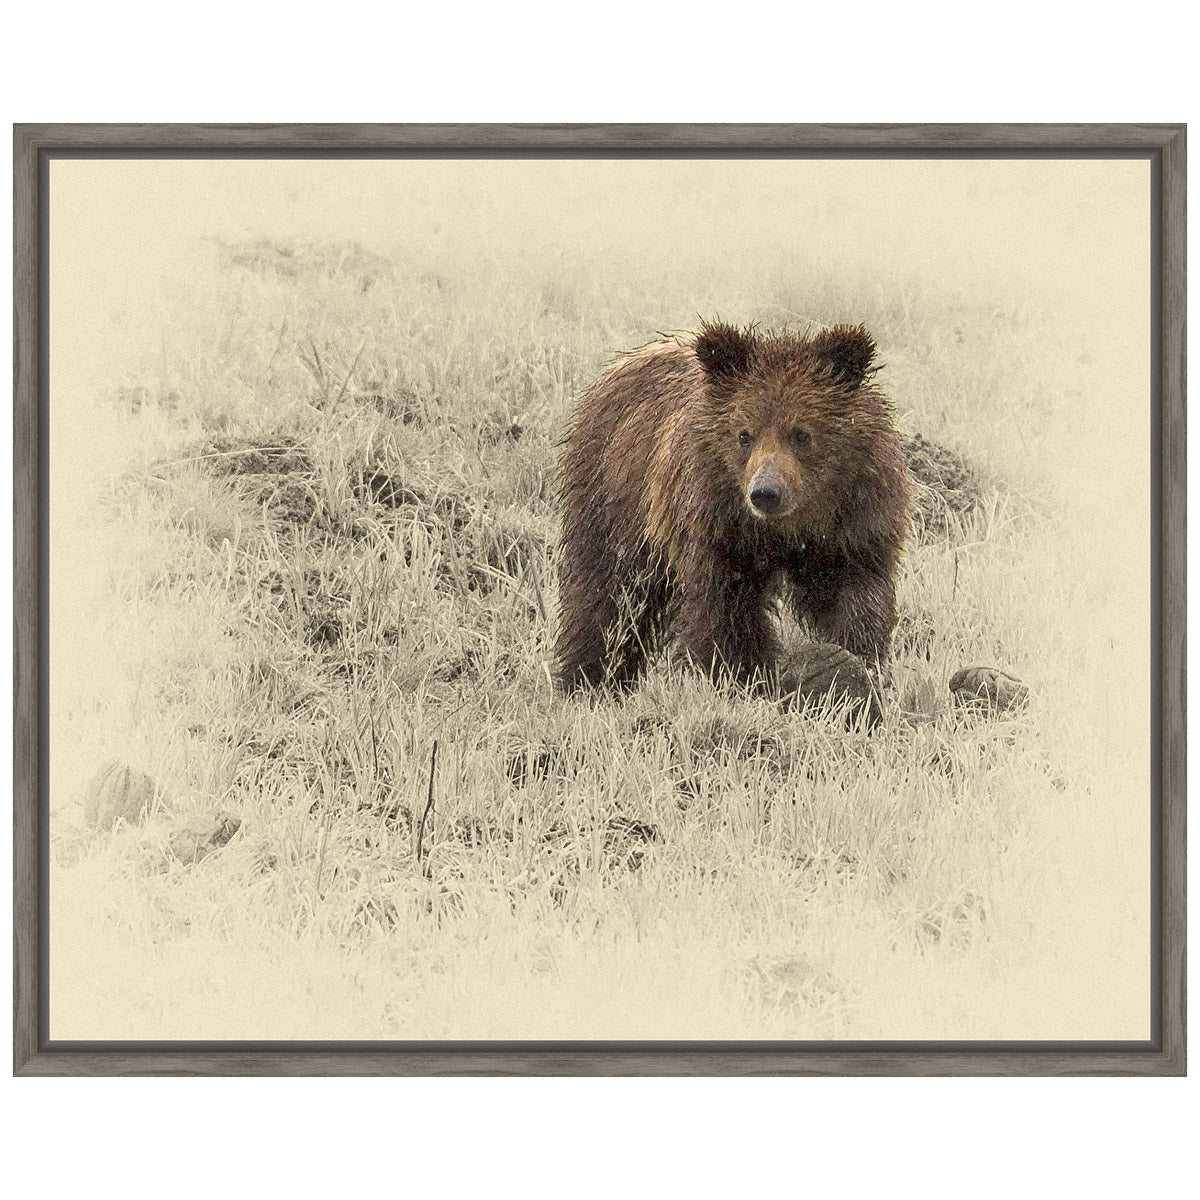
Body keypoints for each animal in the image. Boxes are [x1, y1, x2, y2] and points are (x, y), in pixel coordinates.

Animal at [556, 319, 912, 693]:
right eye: (744, 435)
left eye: (801, 433)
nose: (766, 492)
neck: (790, 527)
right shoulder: (719, 524)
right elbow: (726, 607)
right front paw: (744, 674)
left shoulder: (853, 520)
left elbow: (855, 594)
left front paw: (855, 661)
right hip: (614, 496)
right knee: (607, 591)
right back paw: (589, 677)